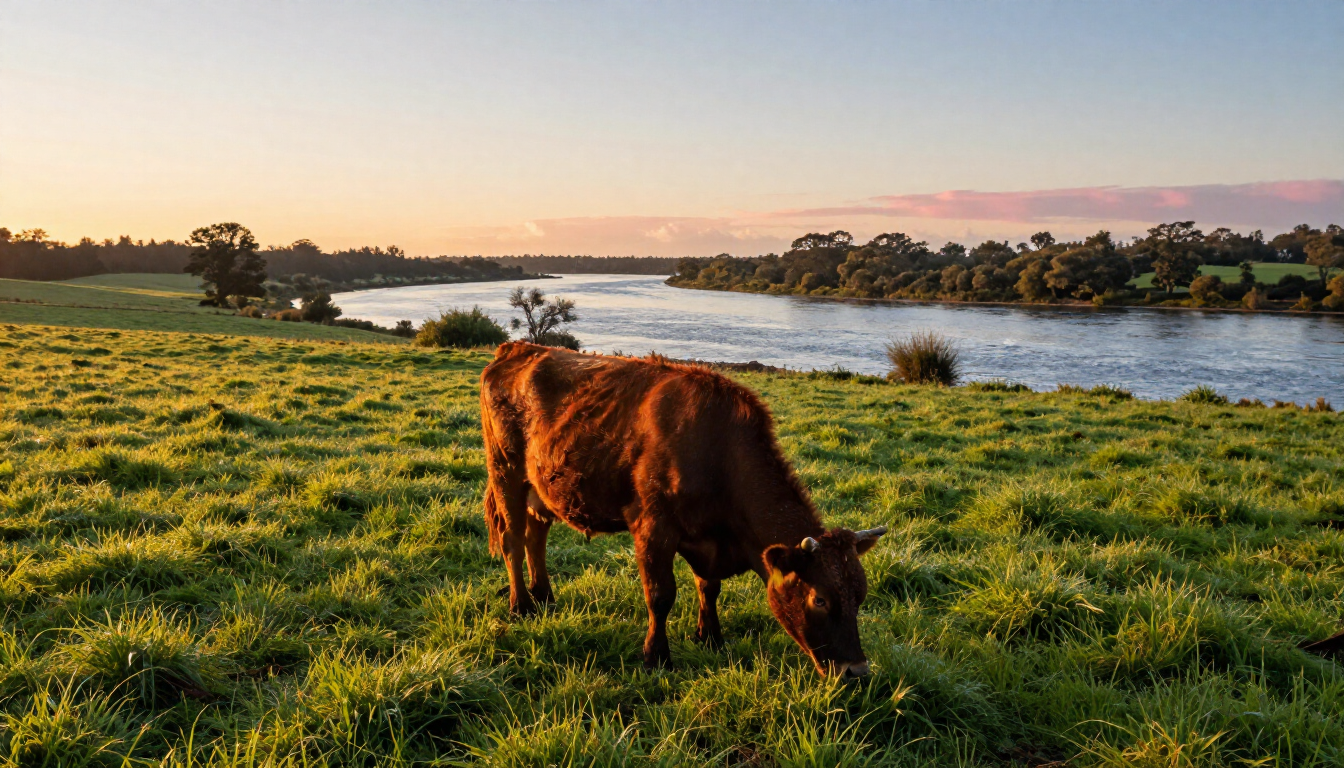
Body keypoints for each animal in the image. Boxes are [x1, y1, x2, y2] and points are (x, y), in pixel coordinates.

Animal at [479, 342, 886, 678]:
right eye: (819, 598)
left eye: (861, 594)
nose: (857, 671)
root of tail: (518, 347)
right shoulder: (652, 526)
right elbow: (661, 596)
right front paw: (656, 657)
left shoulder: (707, 540)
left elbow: (709, 587)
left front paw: (710, 636)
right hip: (505, 472)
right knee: (513, 540)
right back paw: (521, 605)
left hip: (542, 487)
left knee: (536, 537)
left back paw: (544, 597)